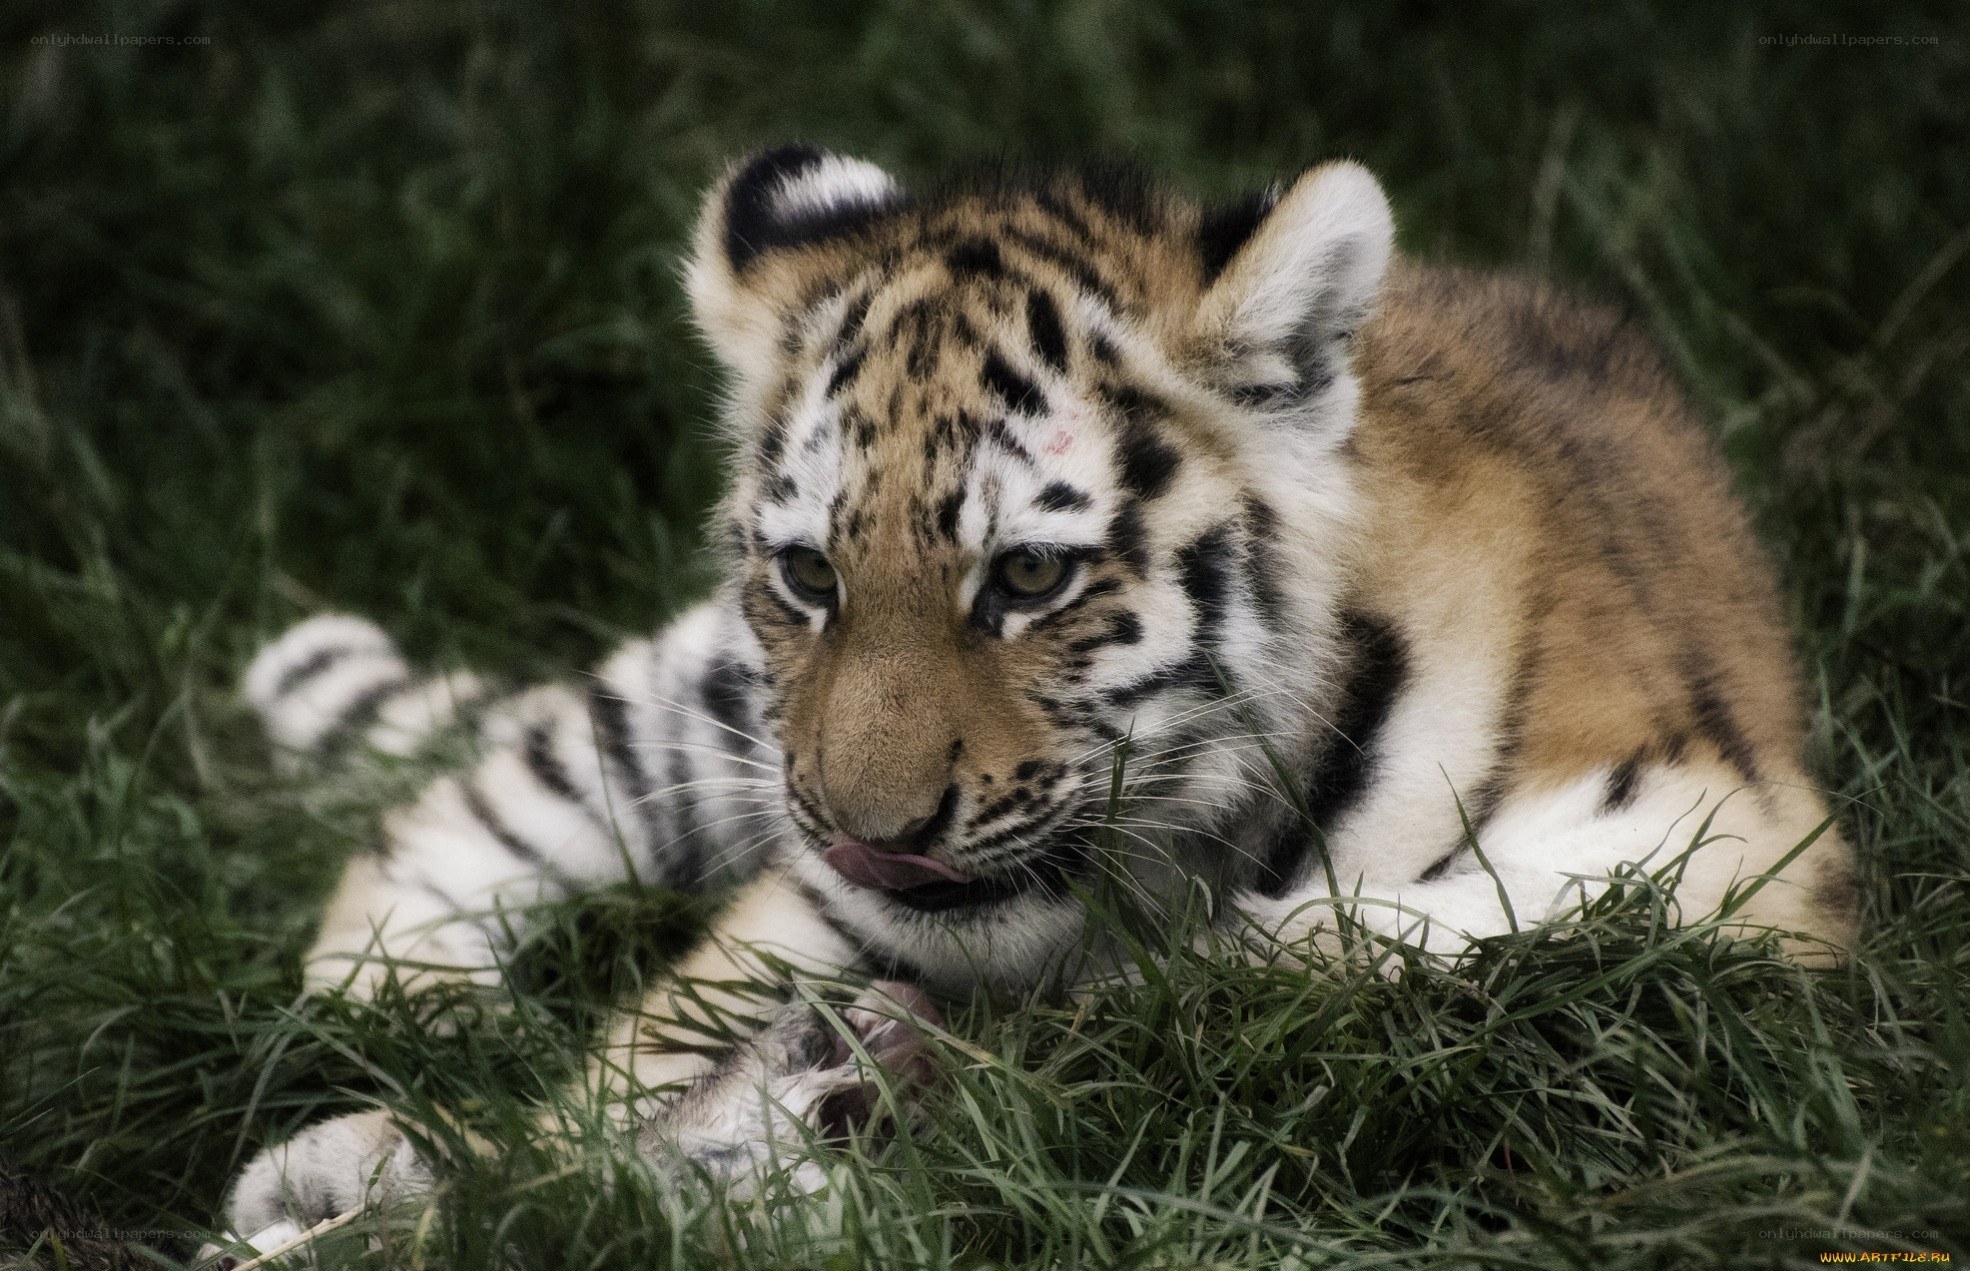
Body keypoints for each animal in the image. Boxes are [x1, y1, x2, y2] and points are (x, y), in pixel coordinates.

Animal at [205, 145, 1859, 1255]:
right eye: (808, 572)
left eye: (1025, 577)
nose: (867, 830)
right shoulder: (812, 887)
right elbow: (630, 1067)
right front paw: (447, 1173)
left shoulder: (1721, 844)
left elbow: (1335, 941)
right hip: (700, 718)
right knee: (476, 795)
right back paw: (395, 1006)